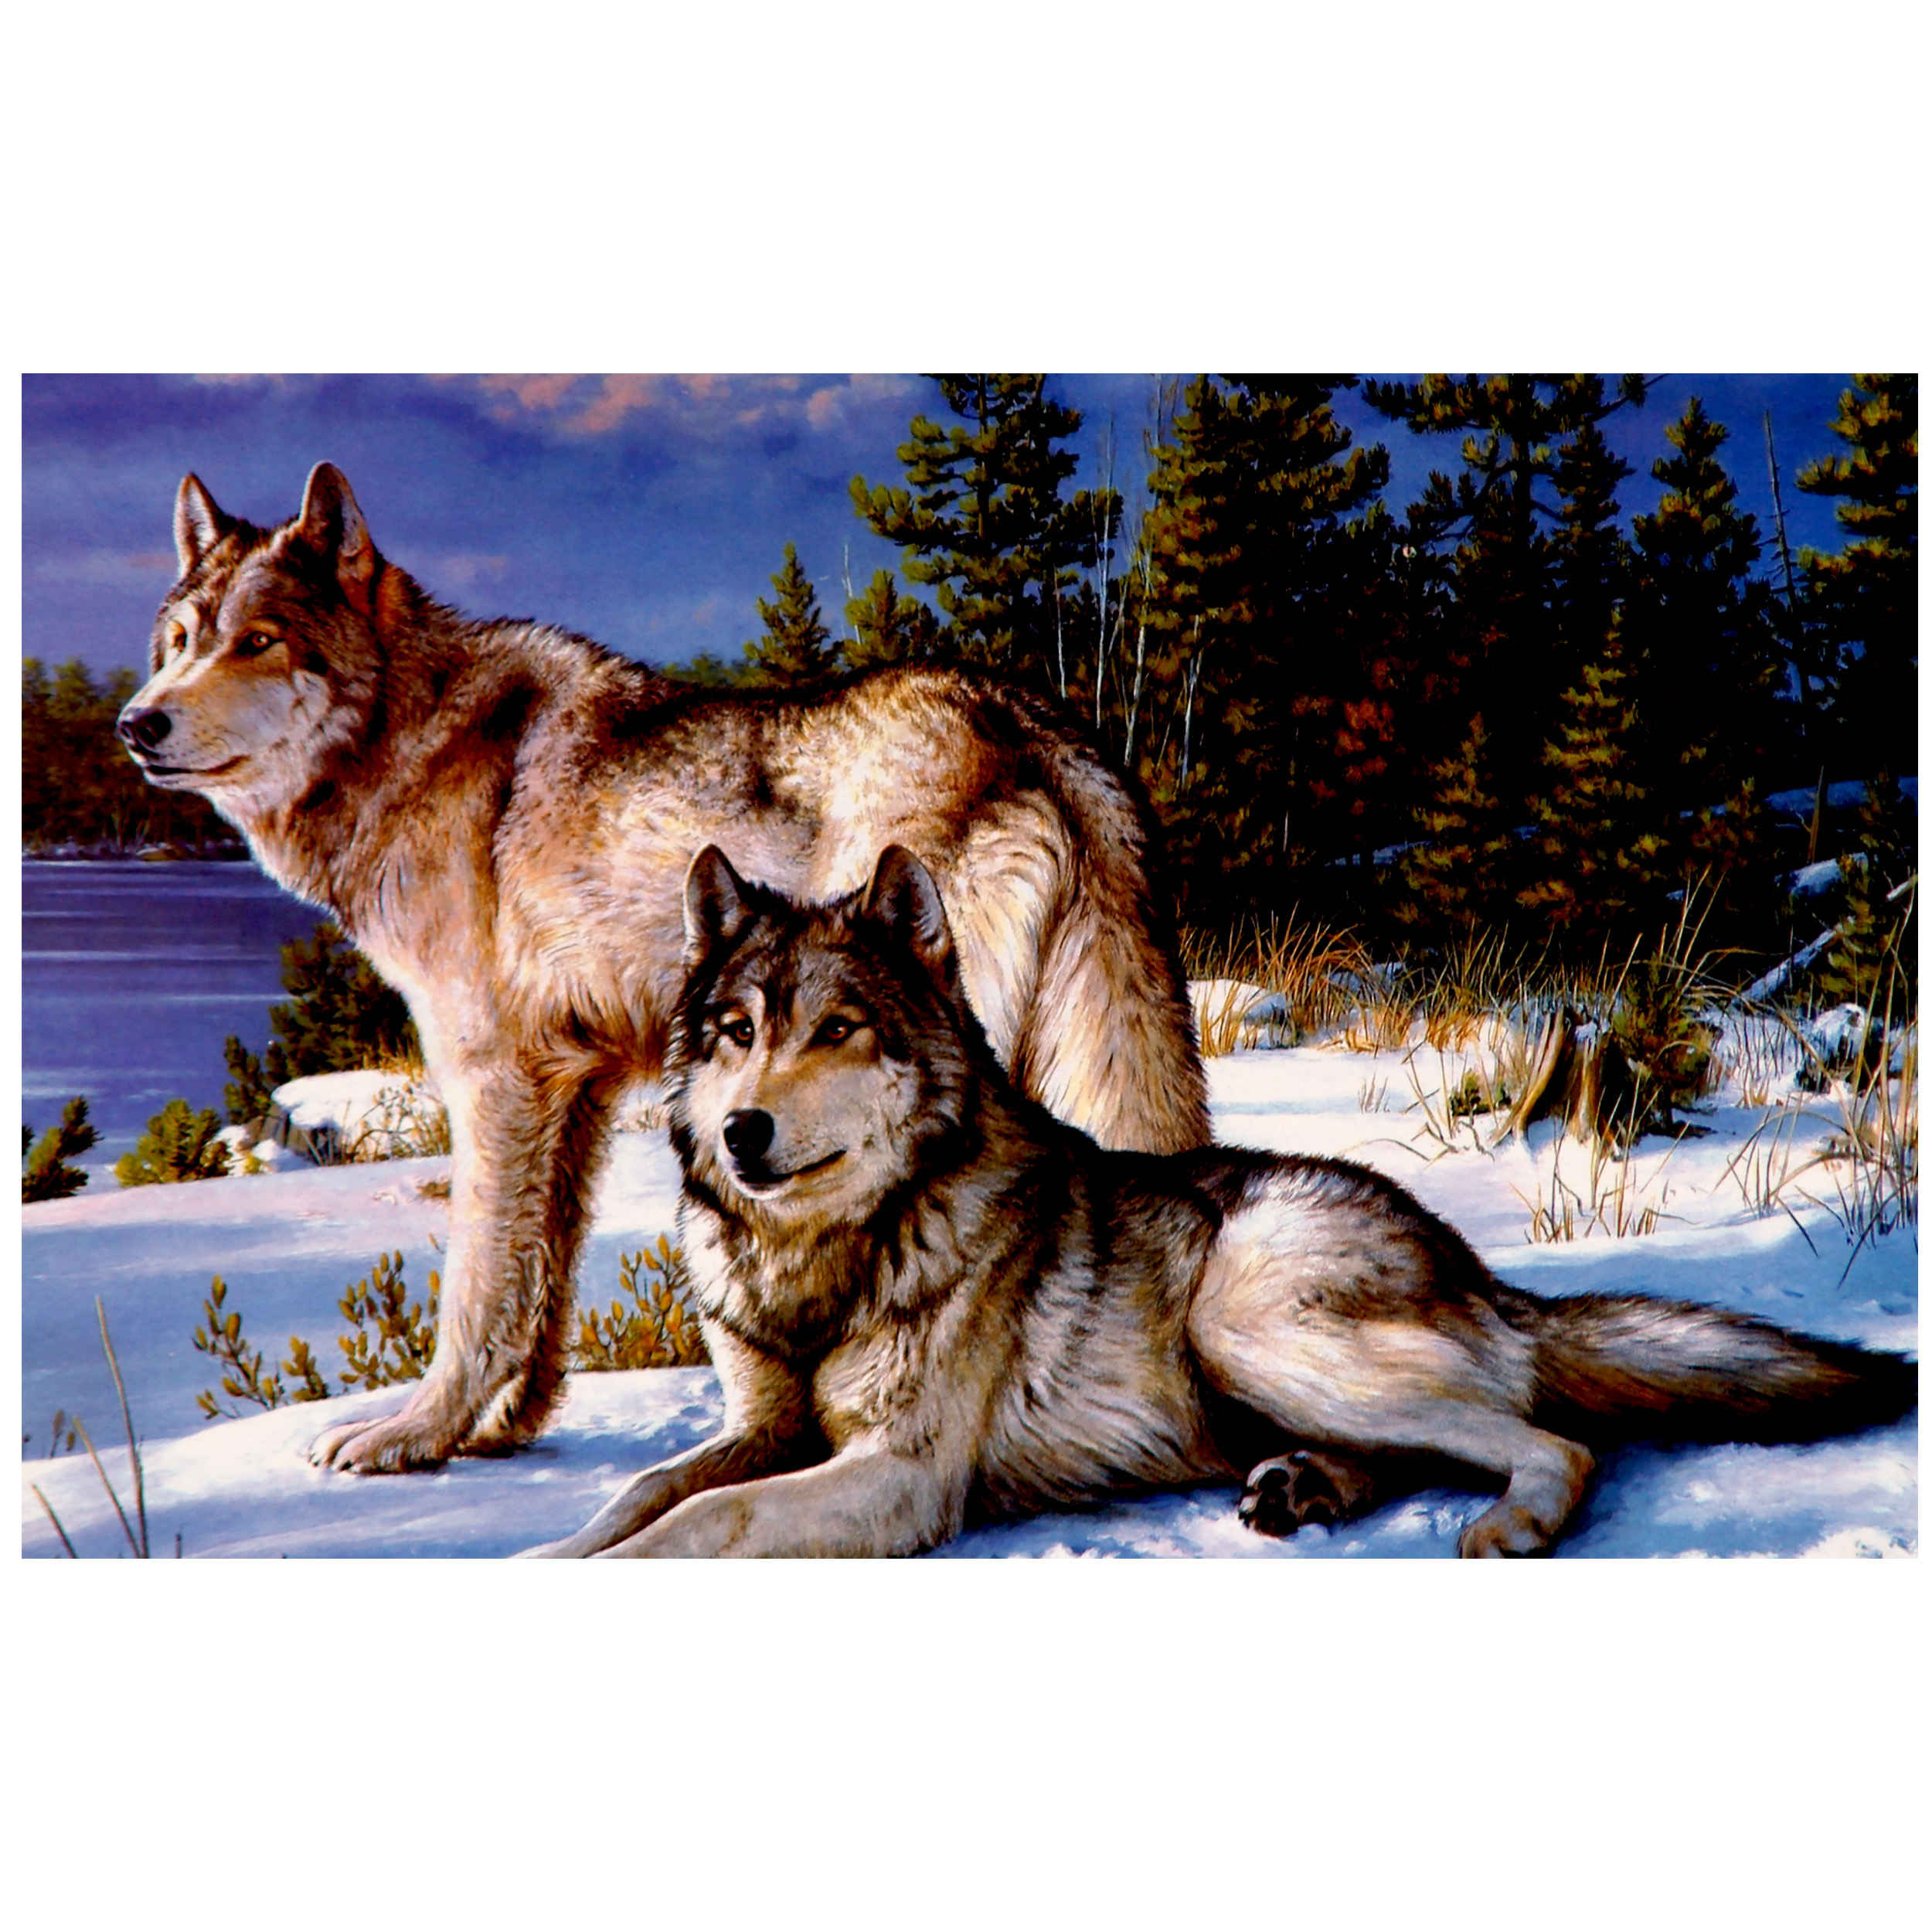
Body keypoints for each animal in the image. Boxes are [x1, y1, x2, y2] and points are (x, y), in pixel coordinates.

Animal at [115, 463, 1209, 1474]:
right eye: (178, 642)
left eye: (258, 641)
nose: (137, 723)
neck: (407, 739)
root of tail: (1038, 723)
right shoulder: (573, 1089)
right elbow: (543, 1284)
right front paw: (504, 1431)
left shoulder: (491, 1080)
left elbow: (476, 1289)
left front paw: (413, 1435)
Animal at [533, 845, 1916, 1558]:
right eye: (737, 1033)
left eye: (835, 1031)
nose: (741, 1132)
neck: (827, 1263)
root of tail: (1479, 1269)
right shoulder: (764, 1426)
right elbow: (642, 1496)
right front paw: (556, 1544)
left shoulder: (897, 1476)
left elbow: (699, 1521)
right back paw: (1304, 1489)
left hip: (1240, 1324)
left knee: (1559, 1440)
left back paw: (1506, 1524)